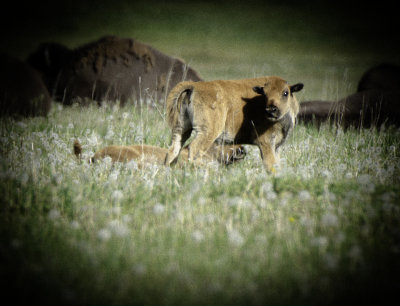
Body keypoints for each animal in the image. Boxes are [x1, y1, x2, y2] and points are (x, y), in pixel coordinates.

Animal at [164, 76, 302, 172]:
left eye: (285, 93)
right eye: (265, 94)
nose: (271, 110)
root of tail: (194, 86)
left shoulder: (276, 146)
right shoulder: (266, 143)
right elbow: (270, 165)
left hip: (181, 129)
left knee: (173, 150)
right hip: (207, 132)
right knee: (193, 149)